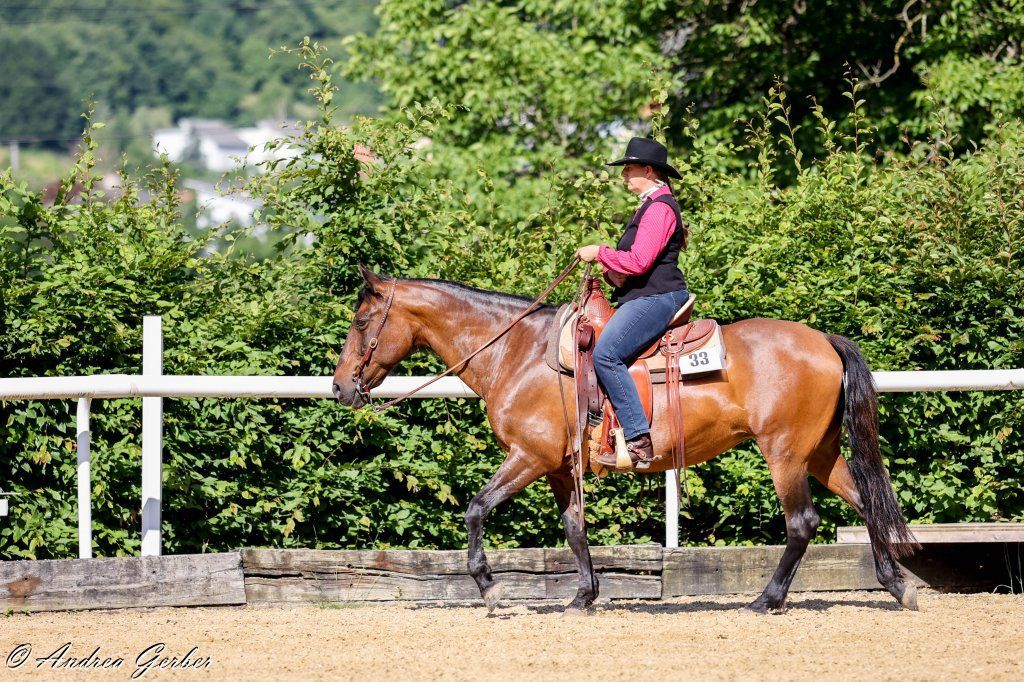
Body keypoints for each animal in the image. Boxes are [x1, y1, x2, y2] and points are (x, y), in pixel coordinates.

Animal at [332, 265, 918, 614]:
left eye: (360, 322)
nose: (340, 387)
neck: (518, 353)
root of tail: (823, 340)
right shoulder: (560, 467)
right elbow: (574, 529)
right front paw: (583, 596)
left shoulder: (528, 457)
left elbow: (477, 509)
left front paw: (491, 587)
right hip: (819, 452)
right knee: (865, 501)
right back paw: (899, 586)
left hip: (785, 453)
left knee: (802, 523)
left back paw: (766, 599)